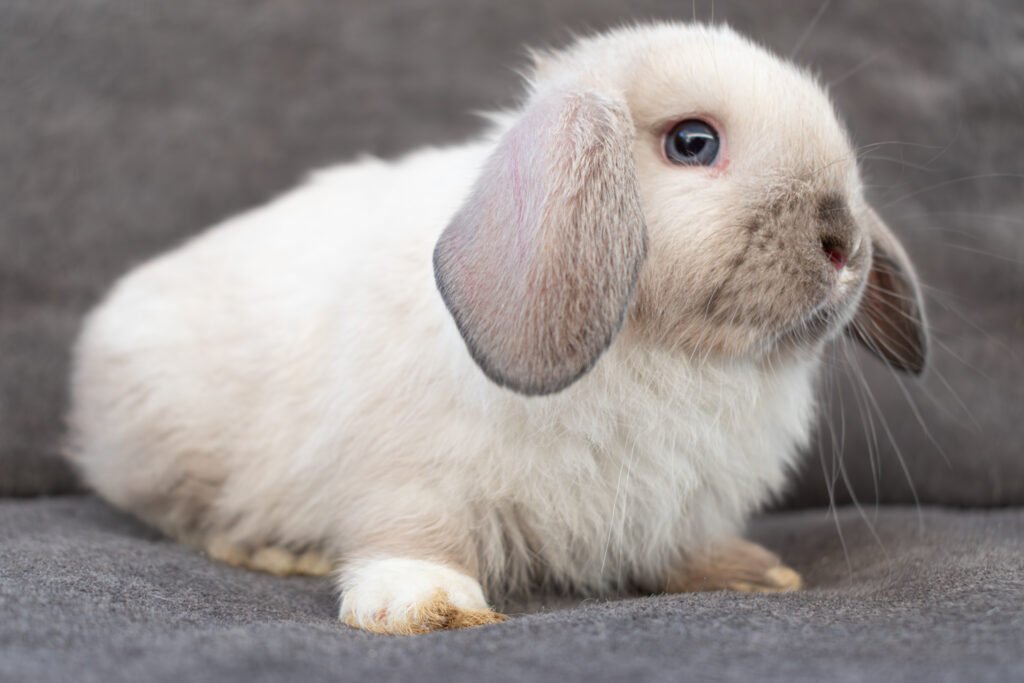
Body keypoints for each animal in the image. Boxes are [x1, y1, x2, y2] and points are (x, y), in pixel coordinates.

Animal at [66, 22, 927, 635]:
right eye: (693, 143)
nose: (844, 243)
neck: (659, 349)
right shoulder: (409, 471)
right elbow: (413, 533)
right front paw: (427, 606)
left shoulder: (684, 502)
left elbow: (683, 544)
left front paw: (748, 571)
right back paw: (271, 548)